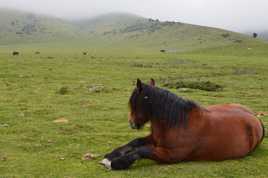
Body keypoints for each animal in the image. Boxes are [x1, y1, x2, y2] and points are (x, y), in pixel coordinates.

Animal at [100, 79, 264, 170]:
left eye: (134, 102)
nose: (132, 123)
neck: (177, 123)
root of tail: (255, 118)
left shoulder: (170, 156)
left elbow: (142, 150)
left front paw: (116, 163)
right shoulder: (153, 138)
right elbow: (135, 142)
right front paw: (110, 156)